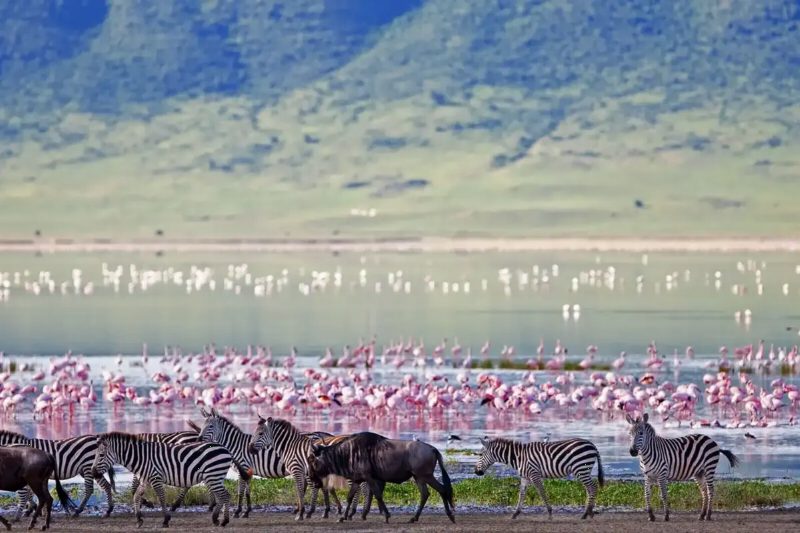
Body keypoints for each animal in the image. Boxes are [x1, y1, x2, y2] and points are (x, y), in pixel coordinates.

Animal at [90, 432, 241, 528]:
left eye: (101, 455)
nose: (93, 472)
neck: (141, 457)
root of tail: (225, 449)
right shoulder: (145, 480)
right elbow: (136, 497)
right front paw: (139, 519)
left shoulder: (156, 477)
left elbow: (161, 497)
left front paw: (166, 520)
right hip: (214, 477)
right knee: (222, 496)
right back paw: (216, 519)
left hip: (213, 476)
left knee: (225, 496)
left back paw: (224, 521)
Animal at [474, 435, 604, 519]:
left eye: (480, 455)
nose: (476, 472)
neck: (518, 457)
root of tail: (592, 445)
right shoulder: (525, 477)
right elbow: (521, 494)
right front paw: (515, 513)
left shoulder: (534, 474)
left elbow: (541, 492)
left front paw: (550, 513)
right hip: (583, 470)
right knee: (589, 488)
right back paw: (588, 512)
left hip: (581, 468)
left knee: (593, 487)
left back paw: (586, 513)